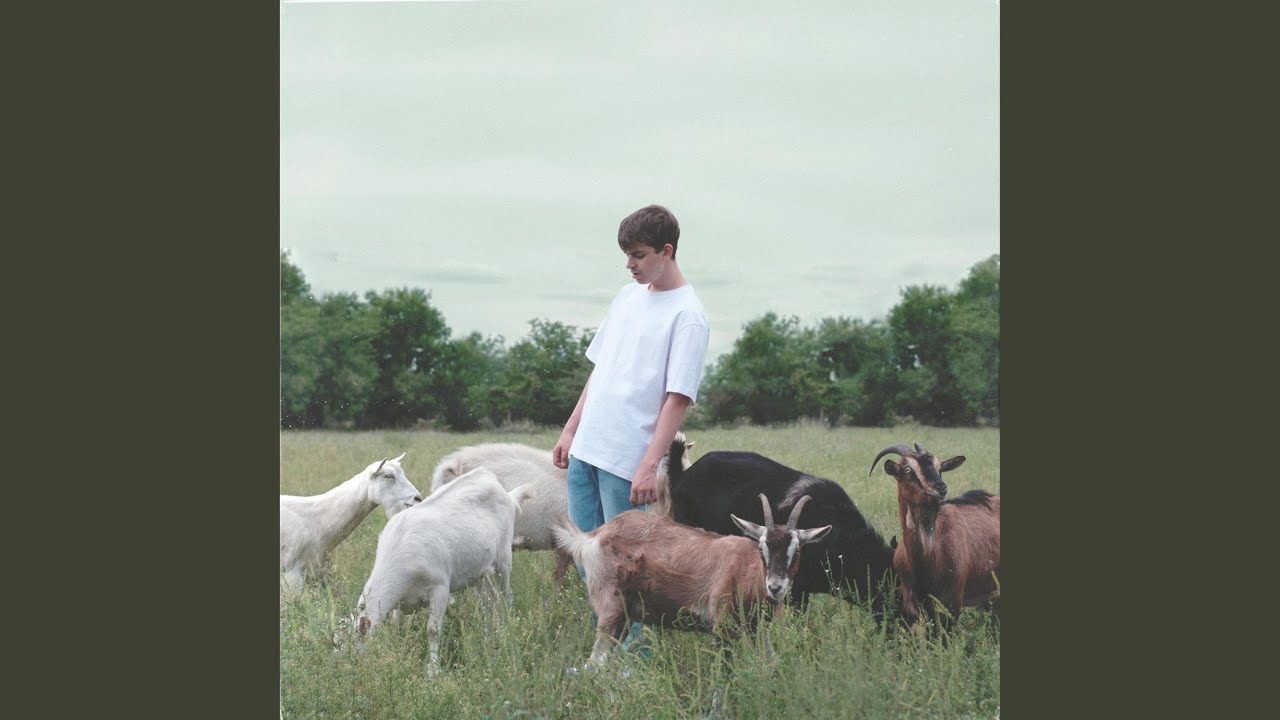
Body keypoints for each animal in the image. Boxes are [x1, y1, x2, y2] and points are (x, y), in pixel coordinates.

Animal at [354, 468, 533, 674]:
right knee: (488, 602)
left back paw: (508, 632)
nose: (354, 663)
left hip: (504, 559)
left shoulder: (439, 589)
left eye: (360, 638)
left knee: (506, 597)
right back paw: (488, 638)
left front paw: (433, 670)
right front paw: (401, 653)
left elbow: (433, 630)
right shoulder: (400, 600)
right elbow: (398, 625)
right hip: (478, 571)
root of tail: (504, 492)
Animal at [553, 494, 830, 668]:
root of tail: (595, 535)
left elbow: (771, 664)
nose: (775, 587)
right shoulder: (722, 629)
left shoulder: (757, 631)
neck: (744, 567)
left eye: (797, 550)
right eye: (762, 548)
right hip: (611, 612)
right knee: (595, 664)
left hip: (624, 619)